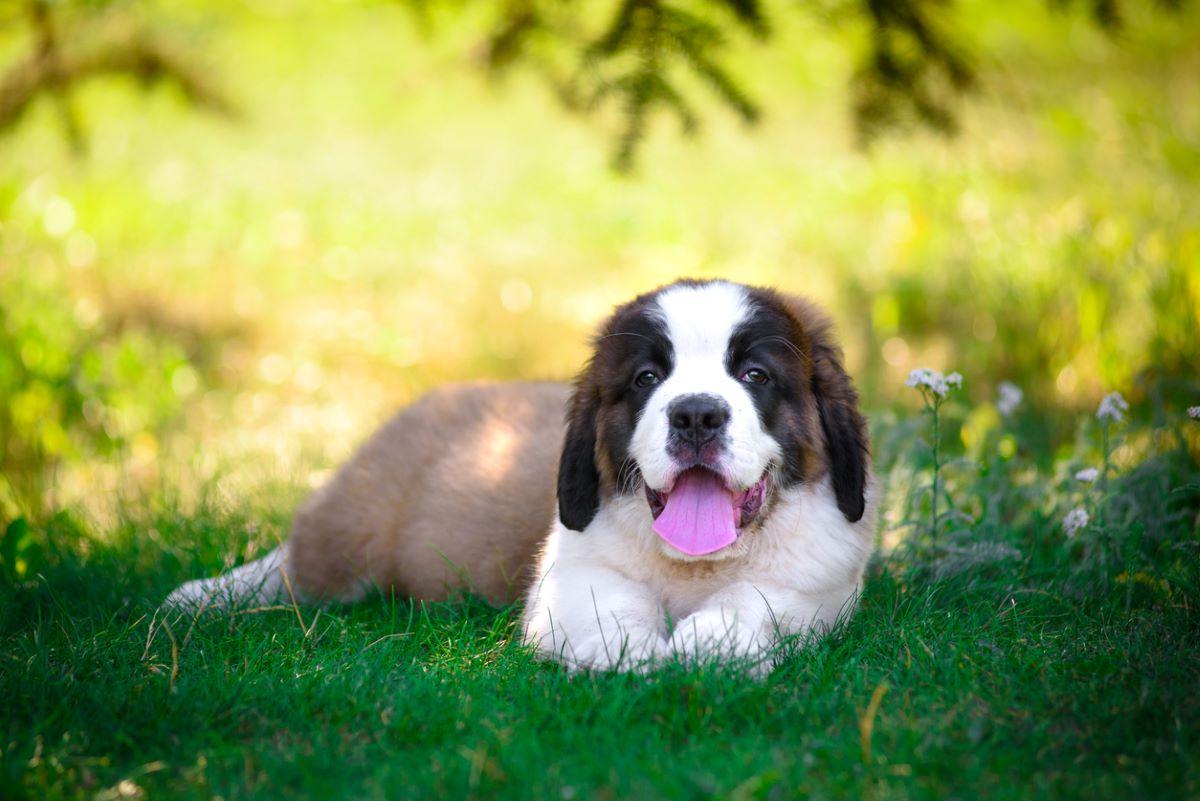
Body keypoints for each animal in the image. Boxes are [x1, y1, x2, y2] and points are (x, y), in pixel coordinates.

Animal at [169, 278, 878, 671]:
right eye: (647, 378)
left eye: (755, 375)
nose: (697, 414)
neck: (693, 566)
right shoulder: (571, 573)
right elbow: (606, 606)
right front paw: (634, 655)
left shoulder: (819, 586)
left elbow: (756, 603)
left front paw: (707, 649)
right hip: (355, 524)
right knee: (298, 564)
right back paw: (202, 596)